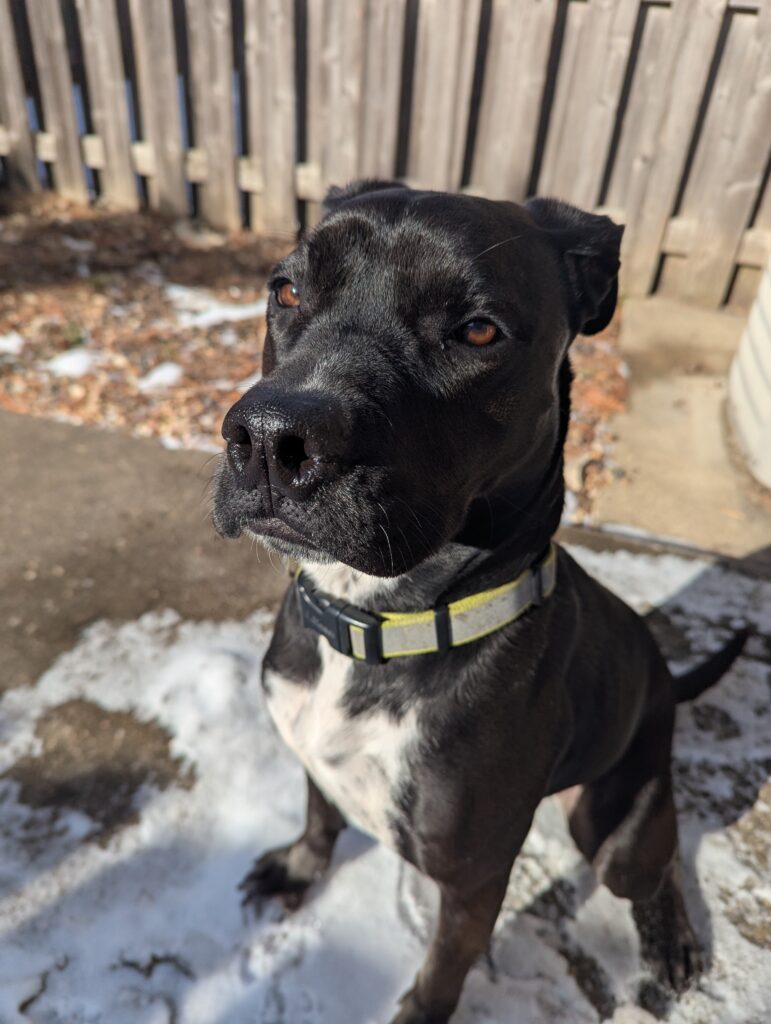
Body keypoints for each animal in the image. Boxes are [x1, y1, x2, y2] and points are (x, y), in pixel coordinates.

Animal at [213, 184, 741, 1024]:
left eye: (476, 330)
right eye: (287, 289)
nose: (268, 439)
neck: (379, 626)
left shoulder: (472, 874)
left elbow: (443, 969)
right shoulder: (314, 758)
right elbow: (319, 817)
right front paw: (298, 870)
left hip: (615, 820)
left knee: (650, 865)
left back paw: (671, 944)